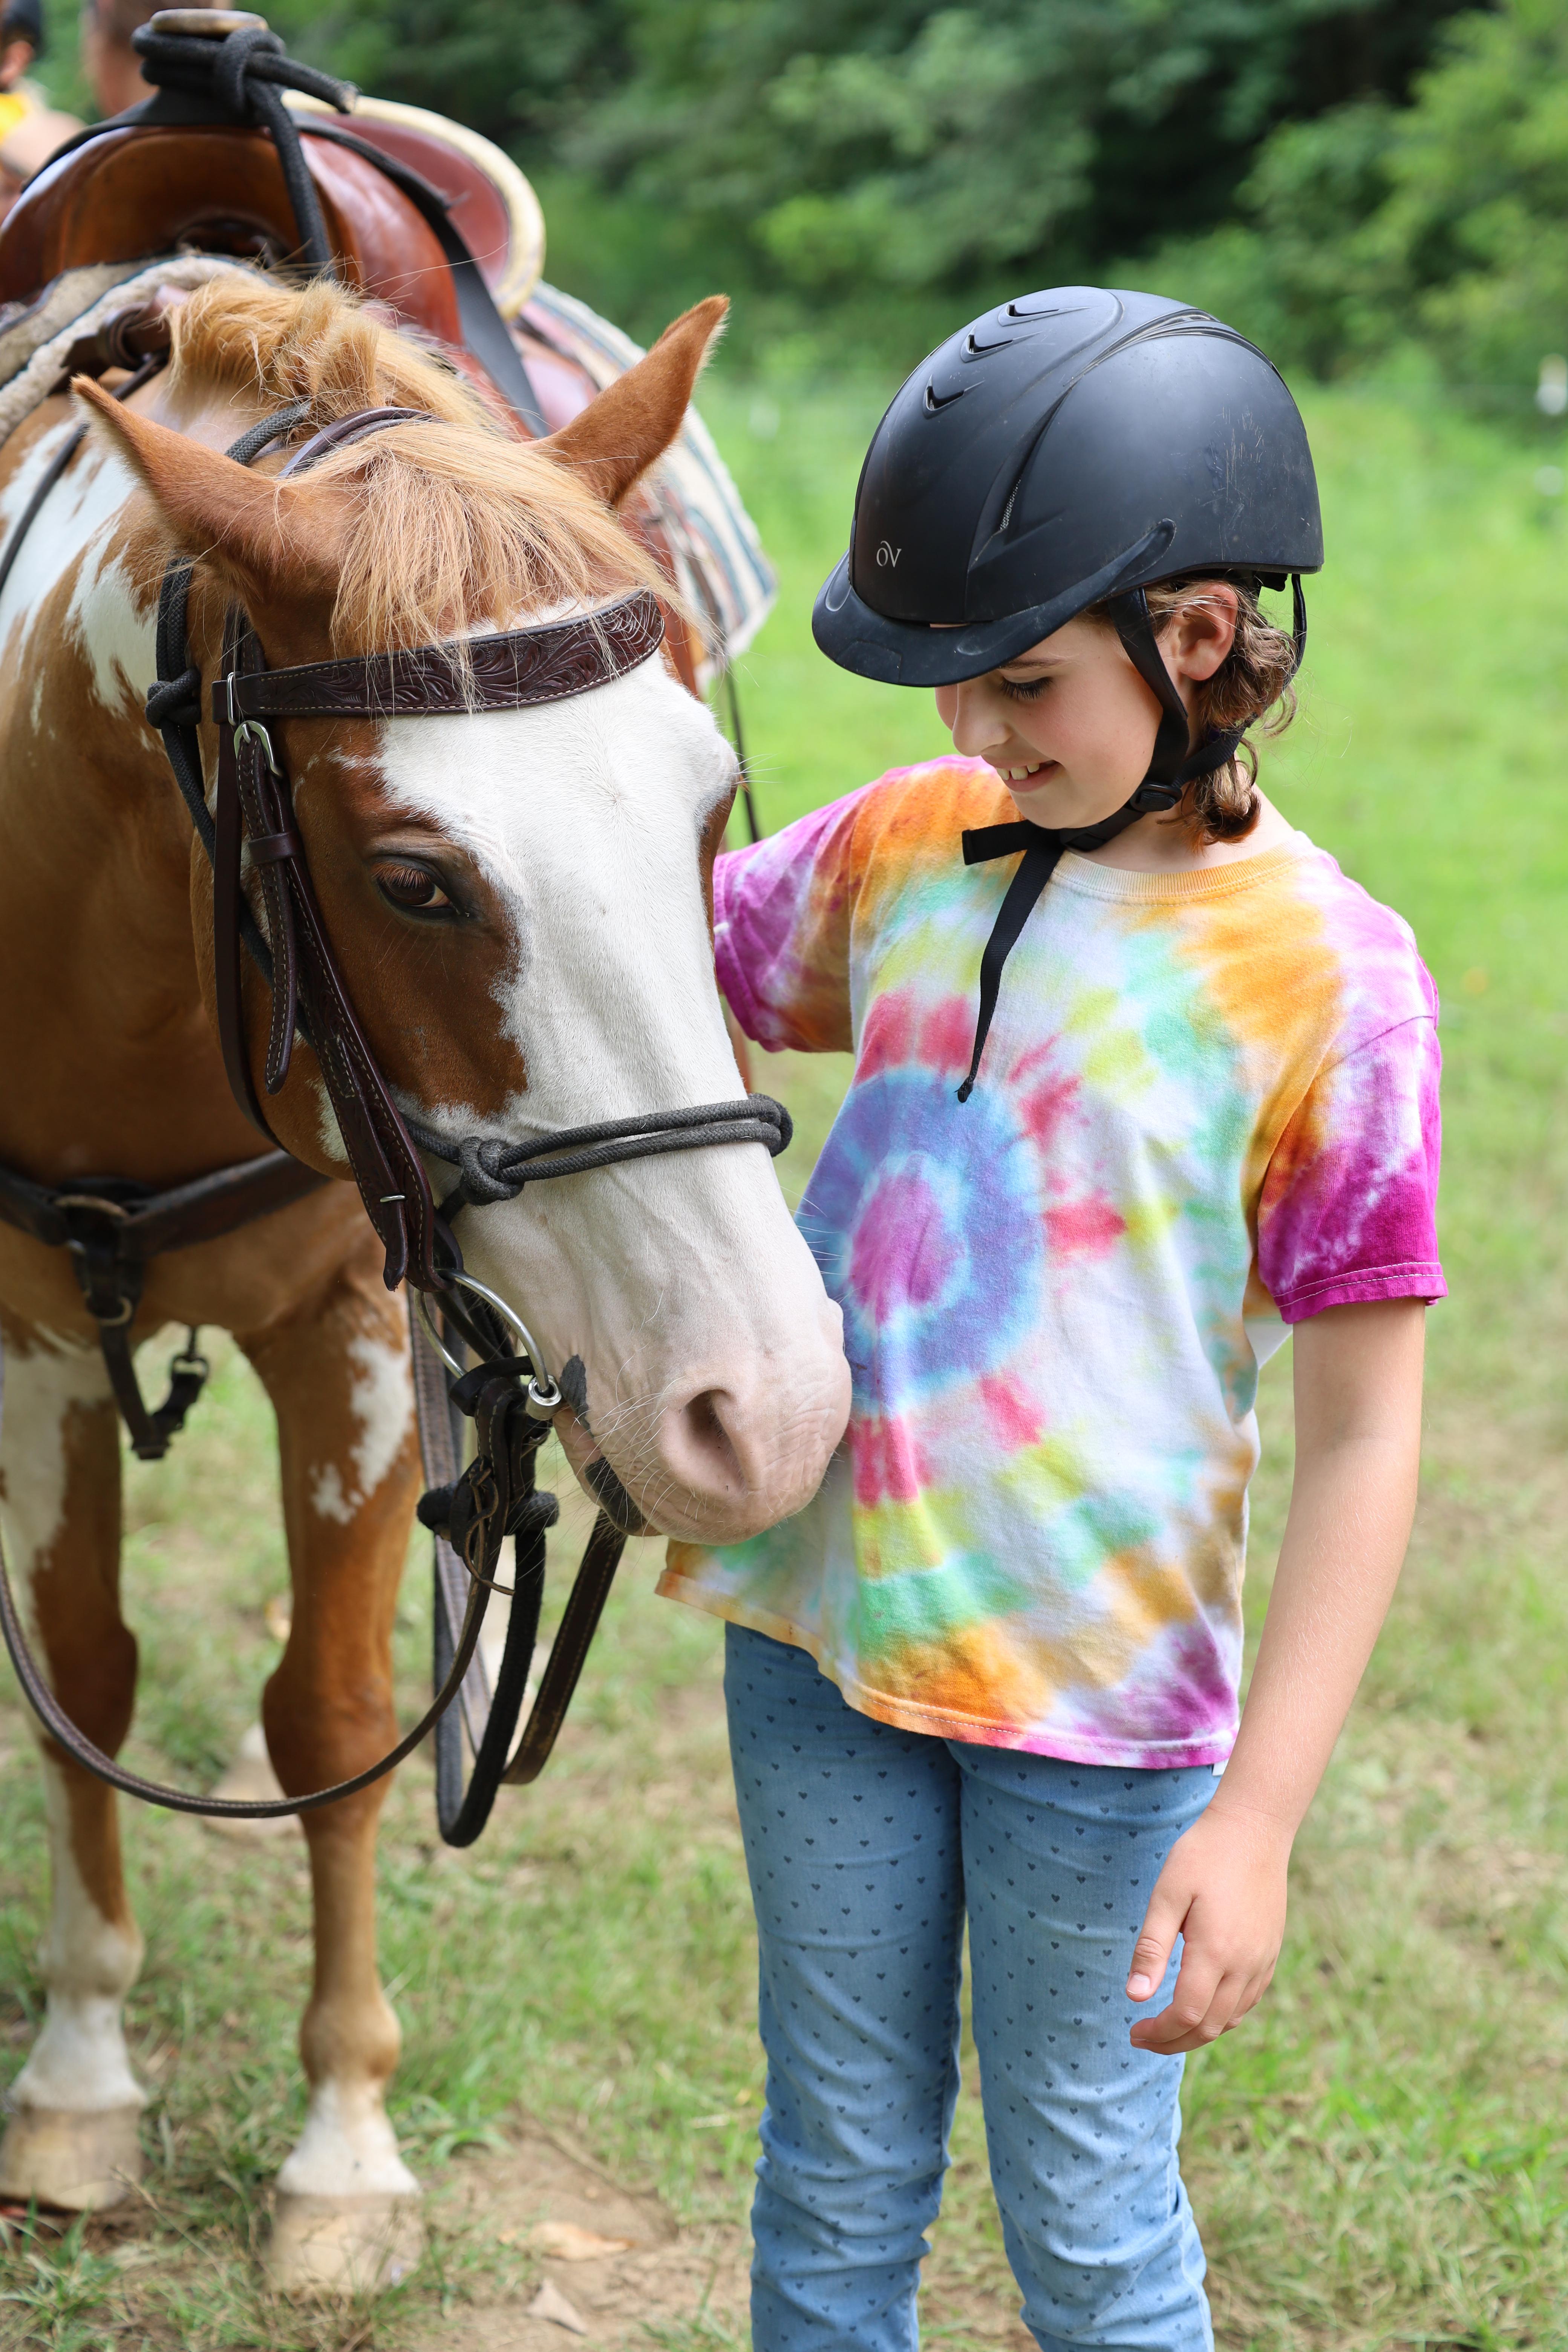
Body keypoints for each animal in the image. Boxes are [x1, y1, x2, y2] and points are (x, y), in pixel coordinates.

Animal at [0, 271, 848, 2289]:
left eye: (707, 806)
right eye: (414, 880)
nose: (769, 1406)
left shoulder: (367, 1336)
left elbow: (328, 1710)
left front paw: (343, 2149)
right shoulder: (37, 1335)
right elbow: (85, 1671)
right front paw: (79, 2067)